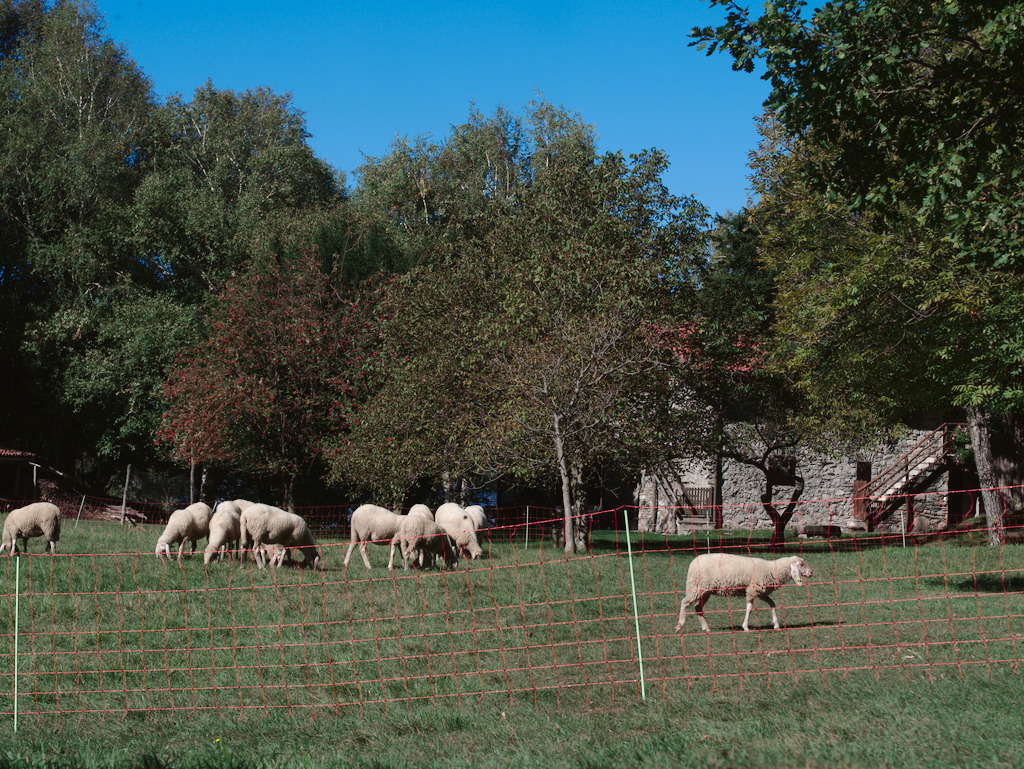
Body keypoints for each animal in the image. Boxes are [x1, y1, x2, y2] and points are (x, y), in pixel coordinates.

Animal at [675, 557, 811, 634]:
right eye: (801, 565)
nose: (811, 572)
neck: (771, 569)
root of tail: (693, 562)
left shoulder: (761, 592)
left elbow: (772, 604)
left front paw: (776, 624)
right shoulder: (752, 590)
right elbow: (749, 609)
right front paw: (745, 627)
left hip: (705, 590)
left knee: (698, 607)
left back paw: (706, 628)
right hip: (696, 586)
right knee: (684, 602)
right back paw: (680, 625)